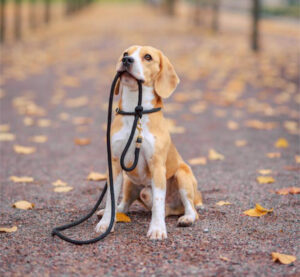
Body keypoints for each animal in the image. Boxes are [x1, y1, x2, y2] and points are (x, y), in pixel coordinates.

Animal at [95, 45, 203, 239]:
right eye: (125, 53)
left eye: (147, 57)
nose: (127, 60)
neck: (135, 113)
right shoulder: (114, 164)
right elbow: (110, 200)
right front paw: (106, 223)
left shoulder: (157, 165)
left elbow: (158, 201)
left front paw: (157, 229)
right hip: (129, 182)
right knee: (124, 204)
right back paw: (117, 213)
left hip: (182, 176)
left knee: (189, 208)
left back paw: (186, 218)